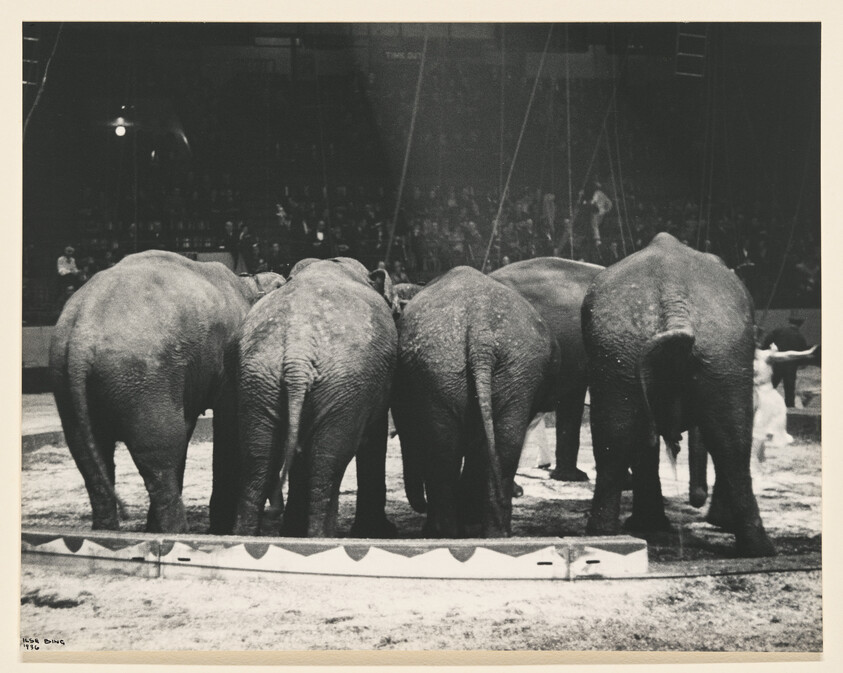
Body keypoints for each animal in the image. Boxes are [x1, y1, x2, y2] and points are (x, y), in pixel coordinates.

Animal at [48, 250, 285, 533]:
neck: (248, 284)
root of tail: (81, 336)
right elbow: (227, 424)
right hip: (141, 376)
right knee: (160, 452)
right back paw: (177, 531)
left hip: (68, 380)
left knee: (89, 455)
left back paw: (112, 530)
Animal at [232, 257, 399, 538]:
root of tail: (297, 351)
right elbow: (374, 439)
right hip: (345, 383)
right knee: (327, 463)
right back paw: (322, 536)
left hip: (257, 377)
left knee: (258, 460)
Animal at [393, 266, 560, 538]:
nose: (420, 505)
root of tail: (482, 336)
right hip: (506, 368)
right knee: (499, 442)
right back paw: (494, 532)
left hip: (454, 364)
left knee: (446, 449)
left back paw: (446, 532)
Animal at [580, 232, 775, 557]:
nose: (696, 497)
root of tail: (674, 298)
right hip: (707, 349)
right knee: (729, 441)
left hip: (632, 347)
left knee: (616, 435)